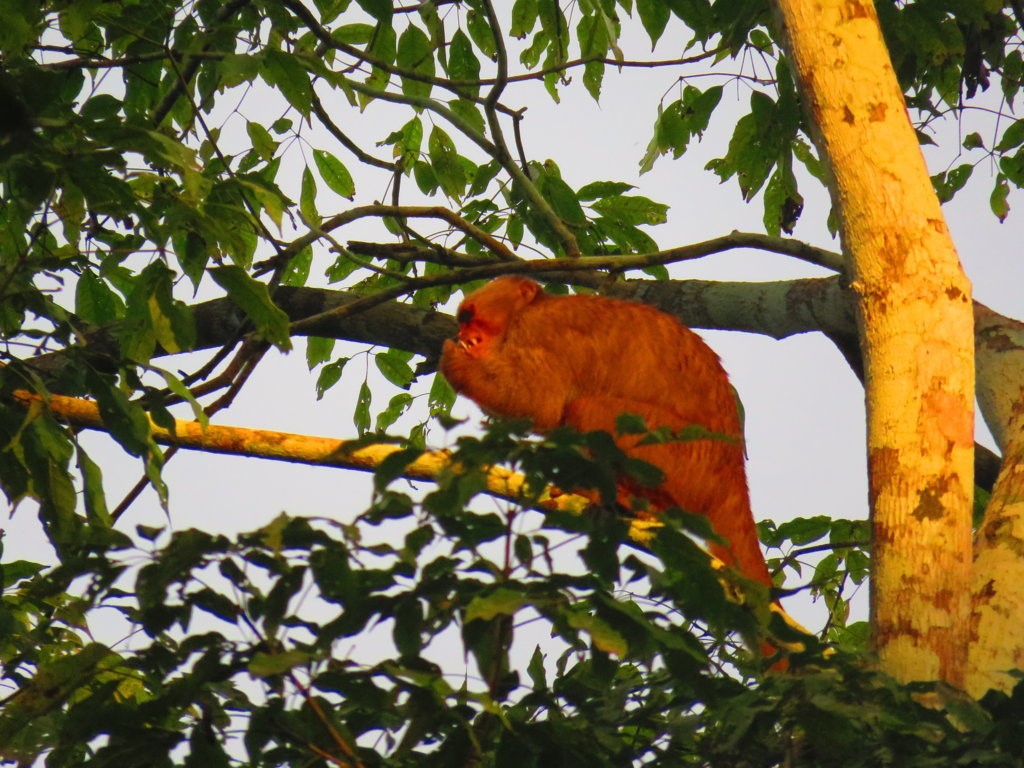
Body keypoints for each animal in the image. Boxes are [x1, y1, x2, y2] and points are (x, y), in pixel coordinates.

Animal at [436, 276, 770, 589]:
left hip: (688, 459)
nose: (464, 336)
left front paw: (455, 362)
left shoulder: (540, 329)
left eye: (469, 317)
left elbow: (539, 402)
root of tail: (732, 471)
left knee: (588, 409)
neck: (527, 311)